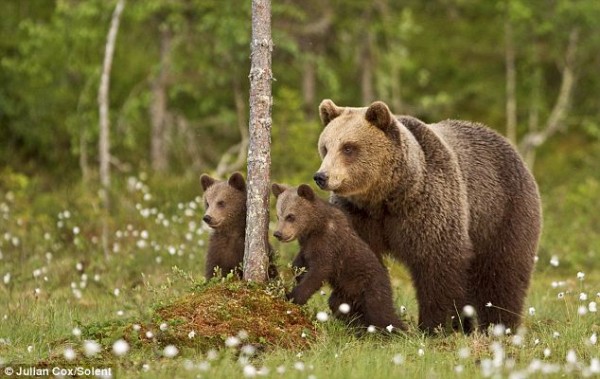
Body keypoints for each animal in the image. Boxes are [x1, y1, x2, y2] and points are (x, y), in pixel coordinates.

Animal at [314, 100, 544, 332]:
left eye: (348, 147)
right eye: (325, 147)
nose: (321, 176)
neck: (386, 197)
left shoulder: (427, 207)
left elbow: (437, 261)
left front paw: (437, 325)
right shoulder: (357, 215)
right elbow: (356, 260)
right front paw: (360, 317)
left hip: (502, 212)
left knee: (502, 272)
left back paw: (499, 325)